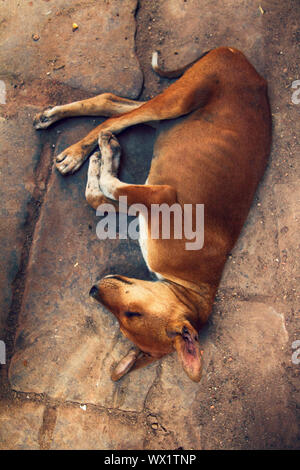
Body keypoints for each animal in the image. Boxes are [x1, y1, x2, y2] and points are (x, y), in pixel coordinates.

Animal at [34, 46, 270, 382]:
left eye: (128, 317)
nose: (93, 289)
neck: (188, 285)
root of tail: (241, 58)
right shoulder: (162, 195)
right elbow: (108, 186)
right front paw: (104, 157)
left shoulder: (145, 202)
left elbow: (99, 195)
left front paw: (102, 162)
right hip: (177, 101)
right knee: (115, 116)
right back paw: (75, 148)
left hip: (168, 116)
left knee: (113, 106)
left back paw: (72, 134)